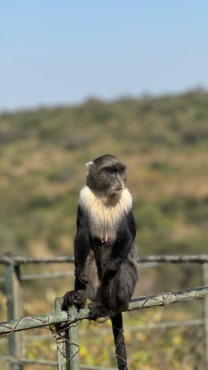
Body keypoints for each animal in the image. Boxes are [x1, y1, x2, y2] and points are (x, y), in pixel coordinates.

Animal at [62, 154, 139, 370]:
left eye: (120, 170)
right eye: (111, 171)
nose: (122, 180)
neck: (107, 196)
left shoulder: (127, 200)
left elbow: (128, 233)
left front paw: (111, 265)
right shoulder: (84, 199)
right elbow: (82, 234)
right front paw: (79, 271)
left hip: (124, 291)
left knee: (120, 271)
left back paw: (110, 308)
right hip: (95, 288)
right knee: (88, 256)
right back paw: (78, 296)